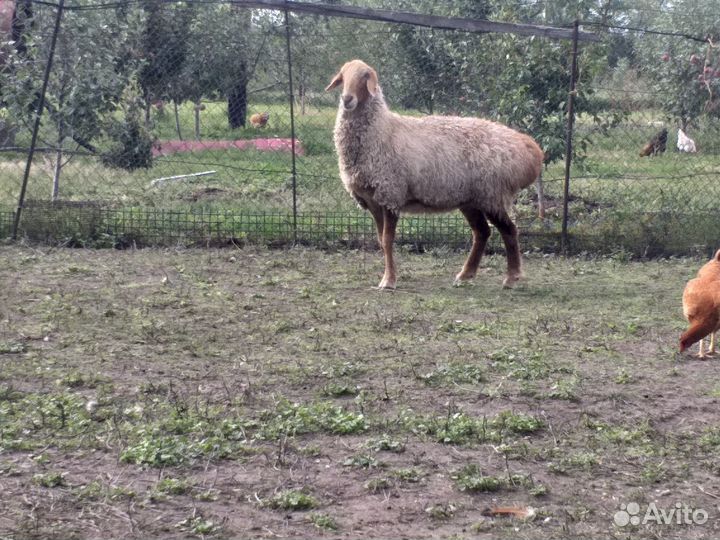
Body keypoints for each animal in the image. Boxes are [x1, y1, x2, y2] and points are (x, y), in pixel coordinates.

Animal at [325, 59, 544, 289]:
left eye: (365, 76)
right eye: (343, 76)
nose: (347, 99)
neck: (382, 130)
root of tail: (528, 148)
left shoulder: (392, 193)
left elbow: (387, 240)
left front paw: (389, 280)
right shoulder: (374, 200)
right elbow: (380, 240)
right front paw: (387, 276)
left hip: (492, 195)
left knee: (509, 230)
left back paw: (511, 277)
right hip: (471, 199)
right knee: (482, 232)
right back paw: (465, 274)